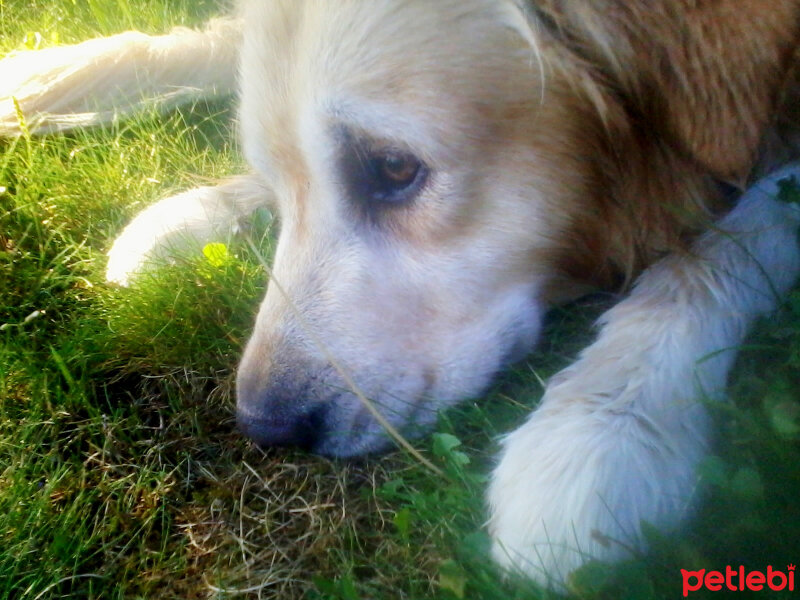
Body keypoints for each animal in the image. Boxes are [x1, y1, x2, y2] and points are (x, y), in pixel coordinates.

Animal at [1, 0, 800, 592]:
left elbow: (727, 243)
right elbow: (234, 54)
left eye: (392, 167)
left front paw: (607, 425)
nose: (264, 425)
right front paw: (194, 206)